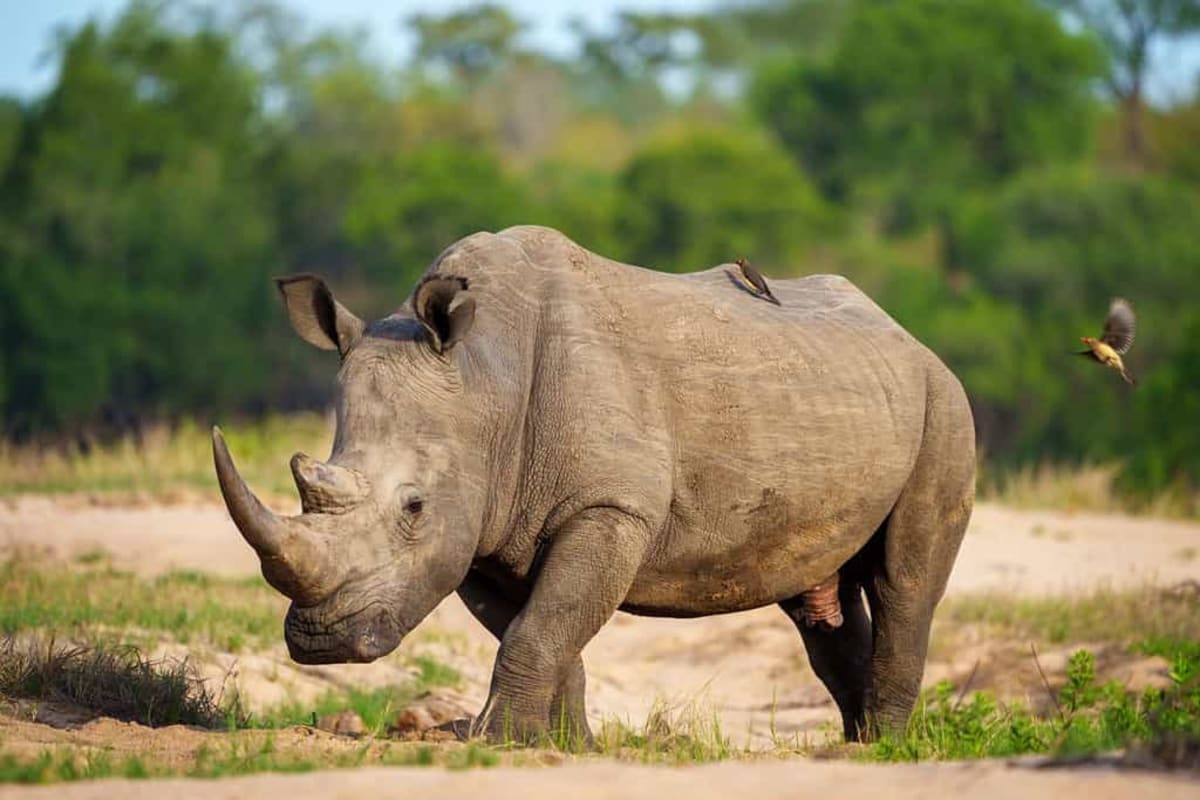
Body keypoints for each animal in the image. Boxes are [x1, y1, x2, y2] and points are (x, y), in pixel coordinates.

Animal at [212, 225, 975, 744]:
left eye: (414, 507)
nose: (322, 641)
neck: (484, 379)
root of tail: (904, 332)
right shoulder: (484, 527)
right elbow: (541, 626)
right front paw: (556, 744)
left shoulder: (609, 506)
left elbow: (543, 623)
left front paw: (497, 740)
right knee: (817, 600)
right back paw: (855, 743)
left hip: (943, 401)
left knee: (906, 584)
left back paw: (885, 749)